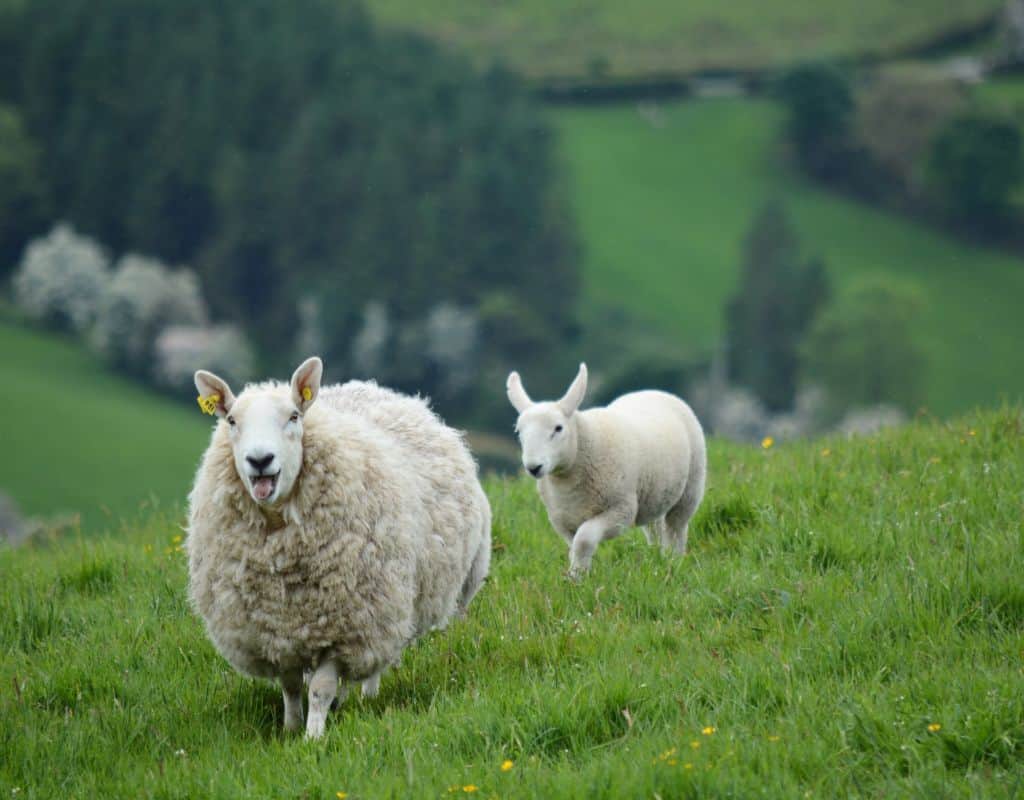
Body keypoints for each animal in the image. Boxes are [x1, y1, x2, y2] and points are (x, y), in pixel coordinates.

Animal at [187, 356, 491, 739]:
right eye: (231, 420)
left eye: (293, 417)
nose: (260, 460)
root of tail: (375, 389)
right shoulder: (274, 630)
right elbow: (290, 686)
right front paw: (290, 729)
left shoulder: (345, 625)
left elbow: (320, 687)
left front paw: (313, 737)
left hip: (390, 605)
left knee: (376, 659)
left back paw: (366, 697)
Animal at [506, 363, 706, 578]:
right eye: (519, 431)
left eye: (558, 428)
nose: (533, 467)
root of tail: (653, 391)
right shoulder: (563, 521)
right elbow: (574, 547)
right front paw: (578, 574)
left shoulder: (621, 510)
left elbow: (584, 539)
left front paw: (577, 577)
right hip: (654, 493)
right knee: (655, 527)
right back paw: (657, 559)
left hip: (691, 487)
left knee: (676, 528)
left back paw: (673, 561)